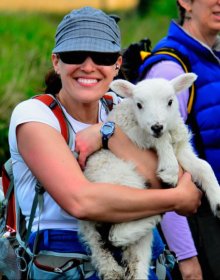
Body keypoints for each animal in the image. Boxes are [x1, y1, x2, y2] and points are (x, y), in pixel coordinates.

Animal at [80, 73, 220, 280]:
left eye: (170, 101)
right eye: (139, 104)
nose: (157, 126)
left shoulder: (181, 149)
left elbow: (204, 166)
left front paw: (218, 201)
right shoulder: (136, 134)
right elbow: (160, 142)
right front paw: (169, 171)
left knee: (132, 259)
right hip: (122, 187)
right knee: (115, 234)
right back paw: (155, 216)